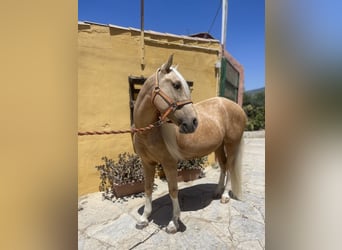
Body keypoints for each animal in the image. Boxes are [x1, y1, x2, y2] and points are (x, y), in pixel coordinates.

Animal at [132, 55, 247, 234]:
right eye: (176, 85)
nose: (192, 122)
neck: (148, 132)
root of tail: (236, 107)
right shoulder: (147, 163)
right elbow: (148, 188)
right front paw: (144, 218)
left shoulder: (169, 163)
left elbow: (173, 190)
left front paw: (174, 223)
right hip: (219, 146)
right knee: (223, 166)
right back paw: (217, 192)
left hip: (231, 144)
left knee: (229, 166)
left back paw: (225, 196)